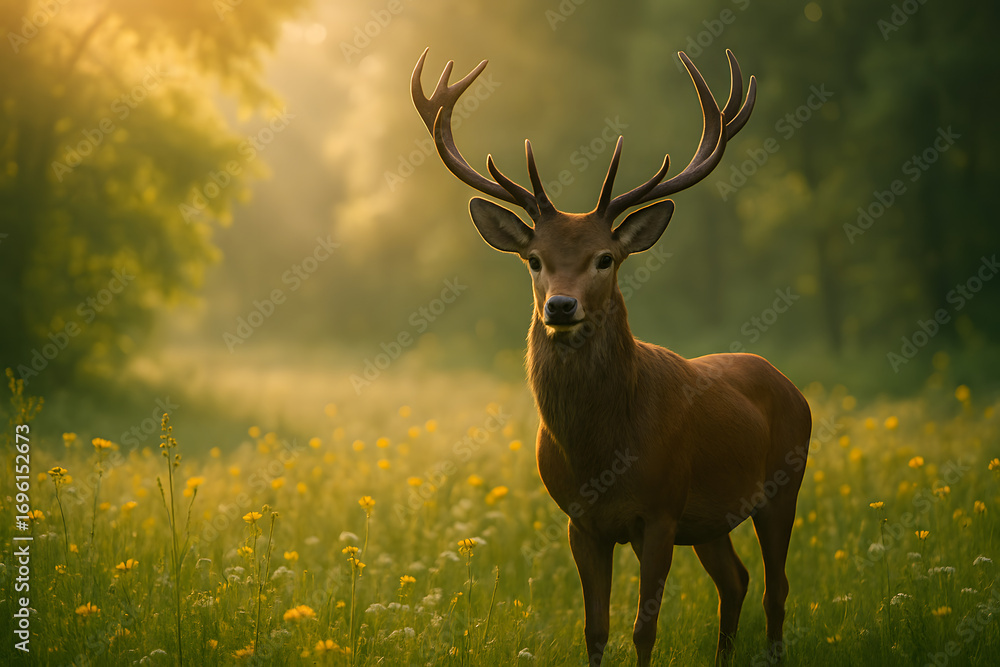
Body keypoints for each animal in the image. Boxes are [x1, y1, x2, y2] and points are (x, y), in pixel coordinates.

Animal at [411, 47, 812, 666]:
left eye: (605, 258)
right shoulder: (583, 521)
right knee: (736, 580)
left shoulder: (661, 510)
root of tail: (790, 385)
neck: (601, 452)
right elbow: (594, 629)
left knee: (776, 588)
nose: (561, 305)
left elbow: (644, 629)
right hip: (711, 518)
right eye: (534, 258)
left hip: (784, 483)